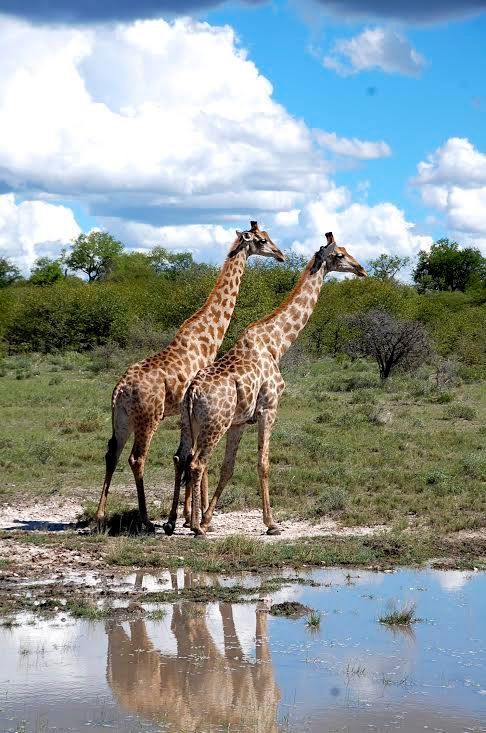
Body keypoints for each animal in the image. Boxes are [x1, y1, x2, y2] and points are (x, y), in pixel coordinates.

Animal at [95, 220, 284, 528]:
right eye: (262, 240)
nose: (280, 254)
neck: (208, 337)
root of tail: (120, 390)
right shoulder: (196, 412)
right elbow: (191, 459)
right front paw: (194, 517)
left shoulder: (189, 415)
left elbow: (183, 457)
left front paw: (187, 516)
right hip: (148, 418)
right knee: (137, 458)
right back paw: (146, 520)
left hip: (121, 419)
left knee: (112, 453)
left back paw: (100, 516)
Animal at [173, 232, 366, 536]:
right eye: (339, 255)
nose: (361, 269)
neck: (276, 344)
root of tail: (191, 392)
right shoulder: (269, 409)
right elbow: (263, 464)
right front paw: (271, 523)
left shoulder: (240, 421)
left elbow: (228, 467)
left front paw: (208, 517)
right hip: (214, 424)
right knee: (197, 463)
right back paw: (195, 528)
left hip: (191, 424)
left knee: (186, 459)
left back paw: (191, 522)